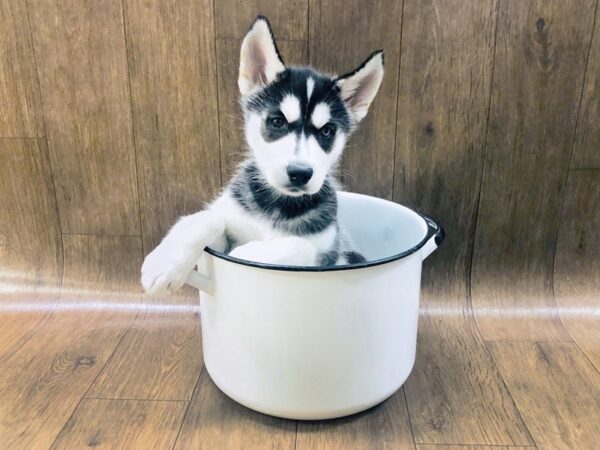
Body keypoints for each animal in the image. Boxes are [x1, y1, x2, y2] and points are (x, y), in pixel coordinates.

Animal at [141, 14, 384, 296]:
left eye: (327, 131)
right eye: (277, 121)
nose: (300, 174)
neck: (277, 205)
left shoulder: (327, 251)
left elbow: (298, 244)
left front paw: (242, 254)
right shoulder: (229, 217)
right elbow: (208, 217)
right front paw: (164, 263)